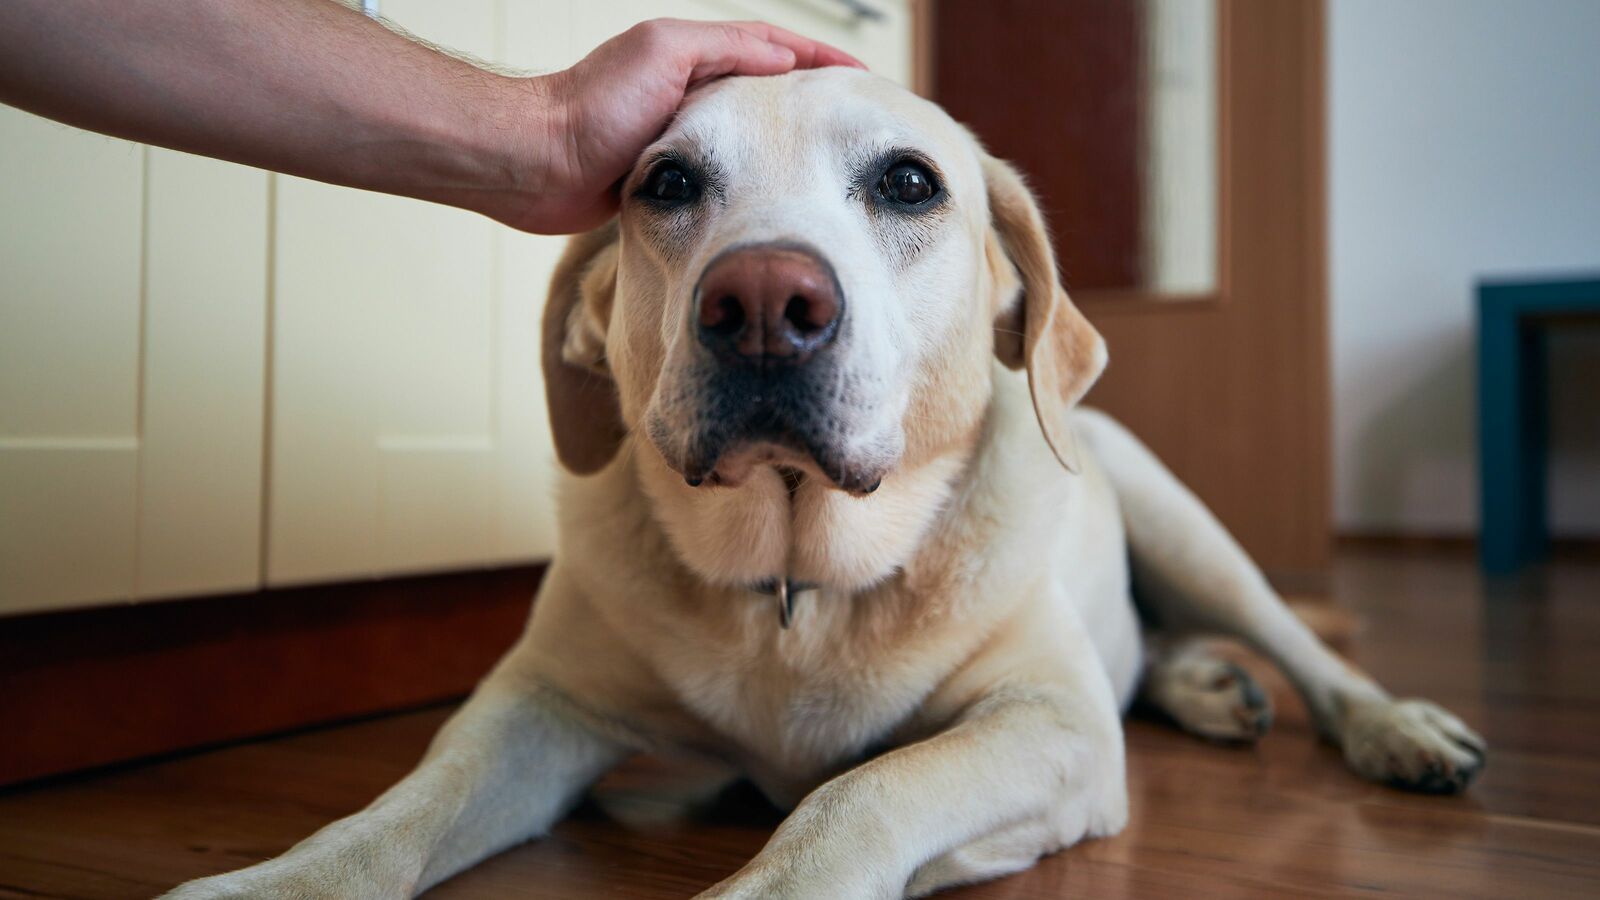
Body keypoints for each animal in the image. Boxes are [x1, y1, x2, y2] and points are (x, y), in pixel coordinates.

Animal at [165, 70, 1484, 896]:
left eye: (908, 182)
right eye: (665, 183)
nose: (761, 305)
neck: (793, 580)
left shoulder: (1053, 727)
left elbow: (858, 798)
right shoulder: (539, 703)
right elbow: (397, 808)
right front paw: (273, 884)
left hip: (1183, 525)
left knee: (1305, 655)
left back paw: (1388, 726)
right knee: (1156, 657)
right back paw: (1206, 690)